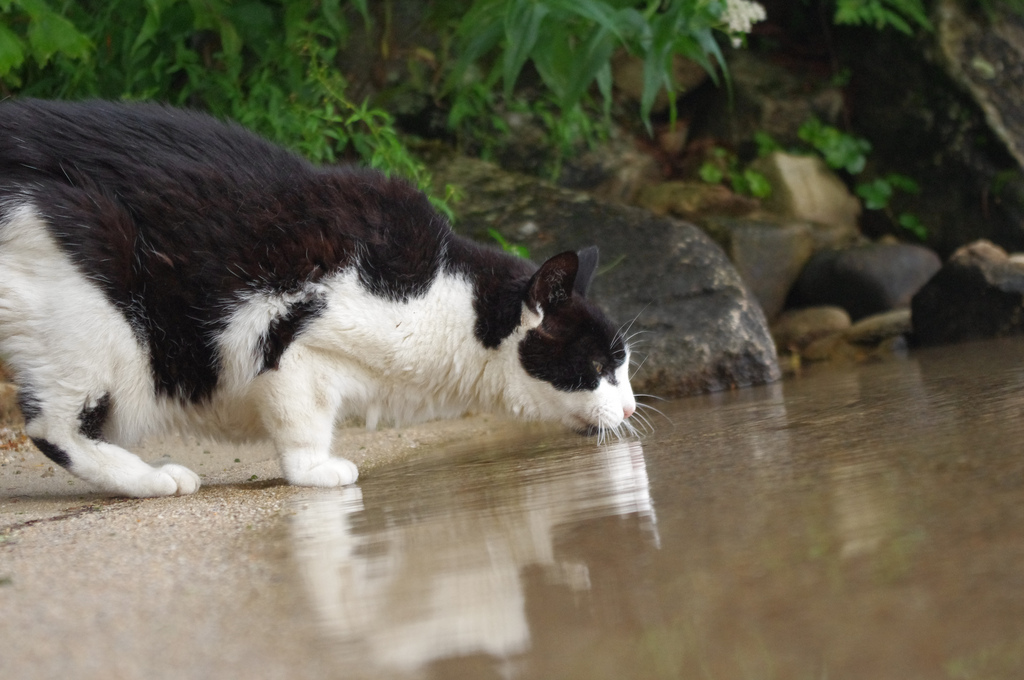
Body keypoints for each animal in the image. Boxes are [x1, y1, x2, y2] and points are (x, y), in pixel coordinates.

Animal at [0, 98, 634, 497]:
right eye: (598, 366)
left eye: (623, 367)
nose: (631, 408)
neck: (452, 302)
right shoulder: (289, 333)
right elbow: (300, 417)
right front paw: (315, 472)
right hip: (98, 310)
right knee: (53, 425)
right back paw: (154, 480)